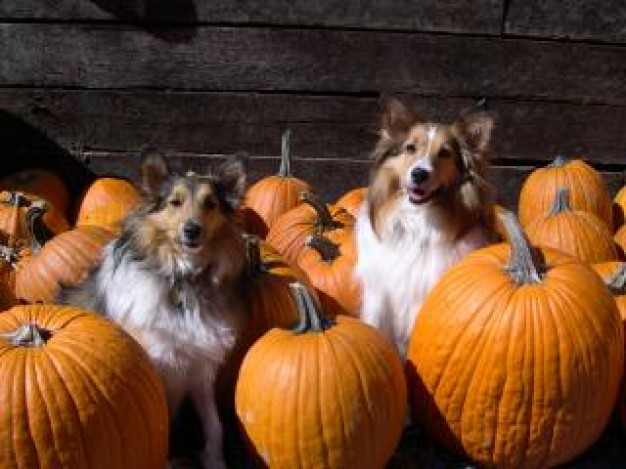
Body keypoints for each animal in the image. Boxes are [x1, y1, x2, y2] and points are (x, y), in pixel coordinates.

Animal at [59, 151, 249, 468]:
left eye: (210, 203)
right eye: (174, 202)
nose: (192, 230)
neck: (183, 279)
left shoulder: (199, 367)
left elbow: (214, 424)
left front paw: (215, 461)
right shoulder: (159, 366)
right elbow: (163, 427)